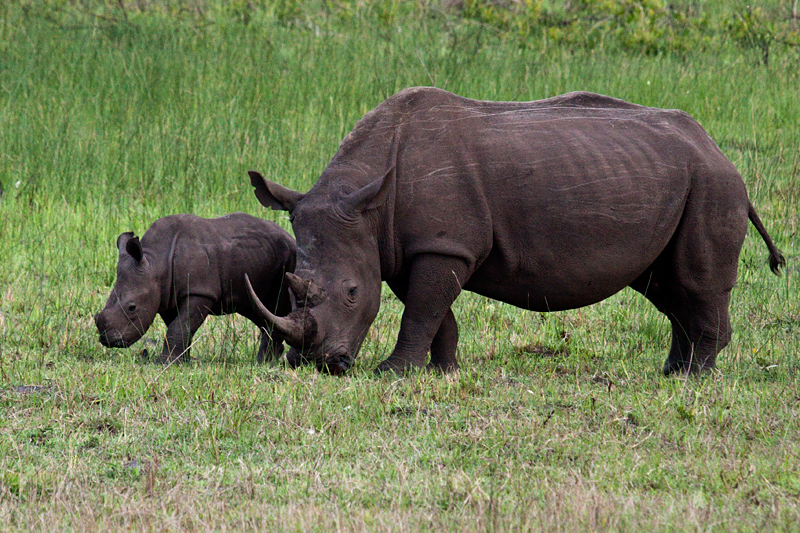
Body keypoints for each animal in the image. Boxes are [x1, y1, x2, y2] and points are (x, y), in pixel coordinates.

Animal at [94, 214, 294, 364]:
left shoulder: (200, 291)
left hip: (287, 262)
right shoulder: (165, 295)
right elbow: (179, 326)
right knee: (257, 308)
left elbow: (178, 326)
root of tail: (289, 236)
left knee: (275, 307)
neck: (157, 262)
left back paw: (264, 362)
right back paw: (269, 359)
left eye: (132, 307)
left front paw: (165, 362)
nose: (108, 340)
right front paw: (181, 360)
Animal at [244, 88, 780, 374]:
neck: (367, 200)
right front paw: (442, 371)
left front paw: (392, 374)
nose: (317, 363)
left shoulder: (444, 245)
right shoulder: (411, 245)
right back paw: (672, 373)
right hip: (675, 182)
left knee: (692, 282)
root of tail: (718, 150)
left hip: (711, 184)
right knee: (664, 286)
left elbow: (421, 308)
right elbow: (435, 310)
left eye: (353, 292)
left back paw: (694, 378)